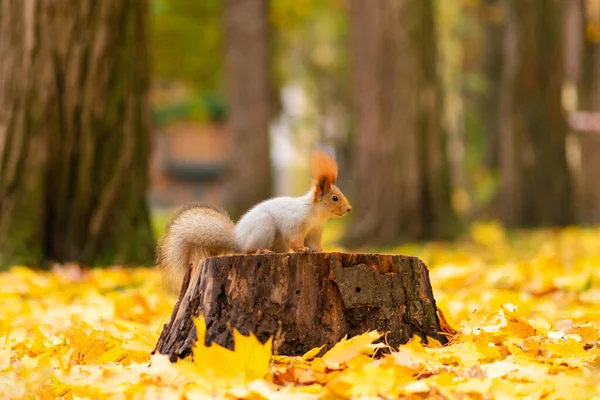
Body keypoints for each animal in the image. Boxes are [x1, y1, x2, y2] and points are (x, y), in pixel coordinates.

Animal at [156, 150, 352, 294]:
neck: (316, 215)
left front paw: (321, 251)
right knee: (249, 250)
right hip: (263, 227)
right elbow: (295, 239)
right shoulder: (295, 224)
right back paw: (261, 250)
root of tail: (238, 239)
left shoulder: (315, 231)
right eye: (335, 198)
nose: (349, 209)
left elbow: (315, 244)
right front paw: (302, 249)